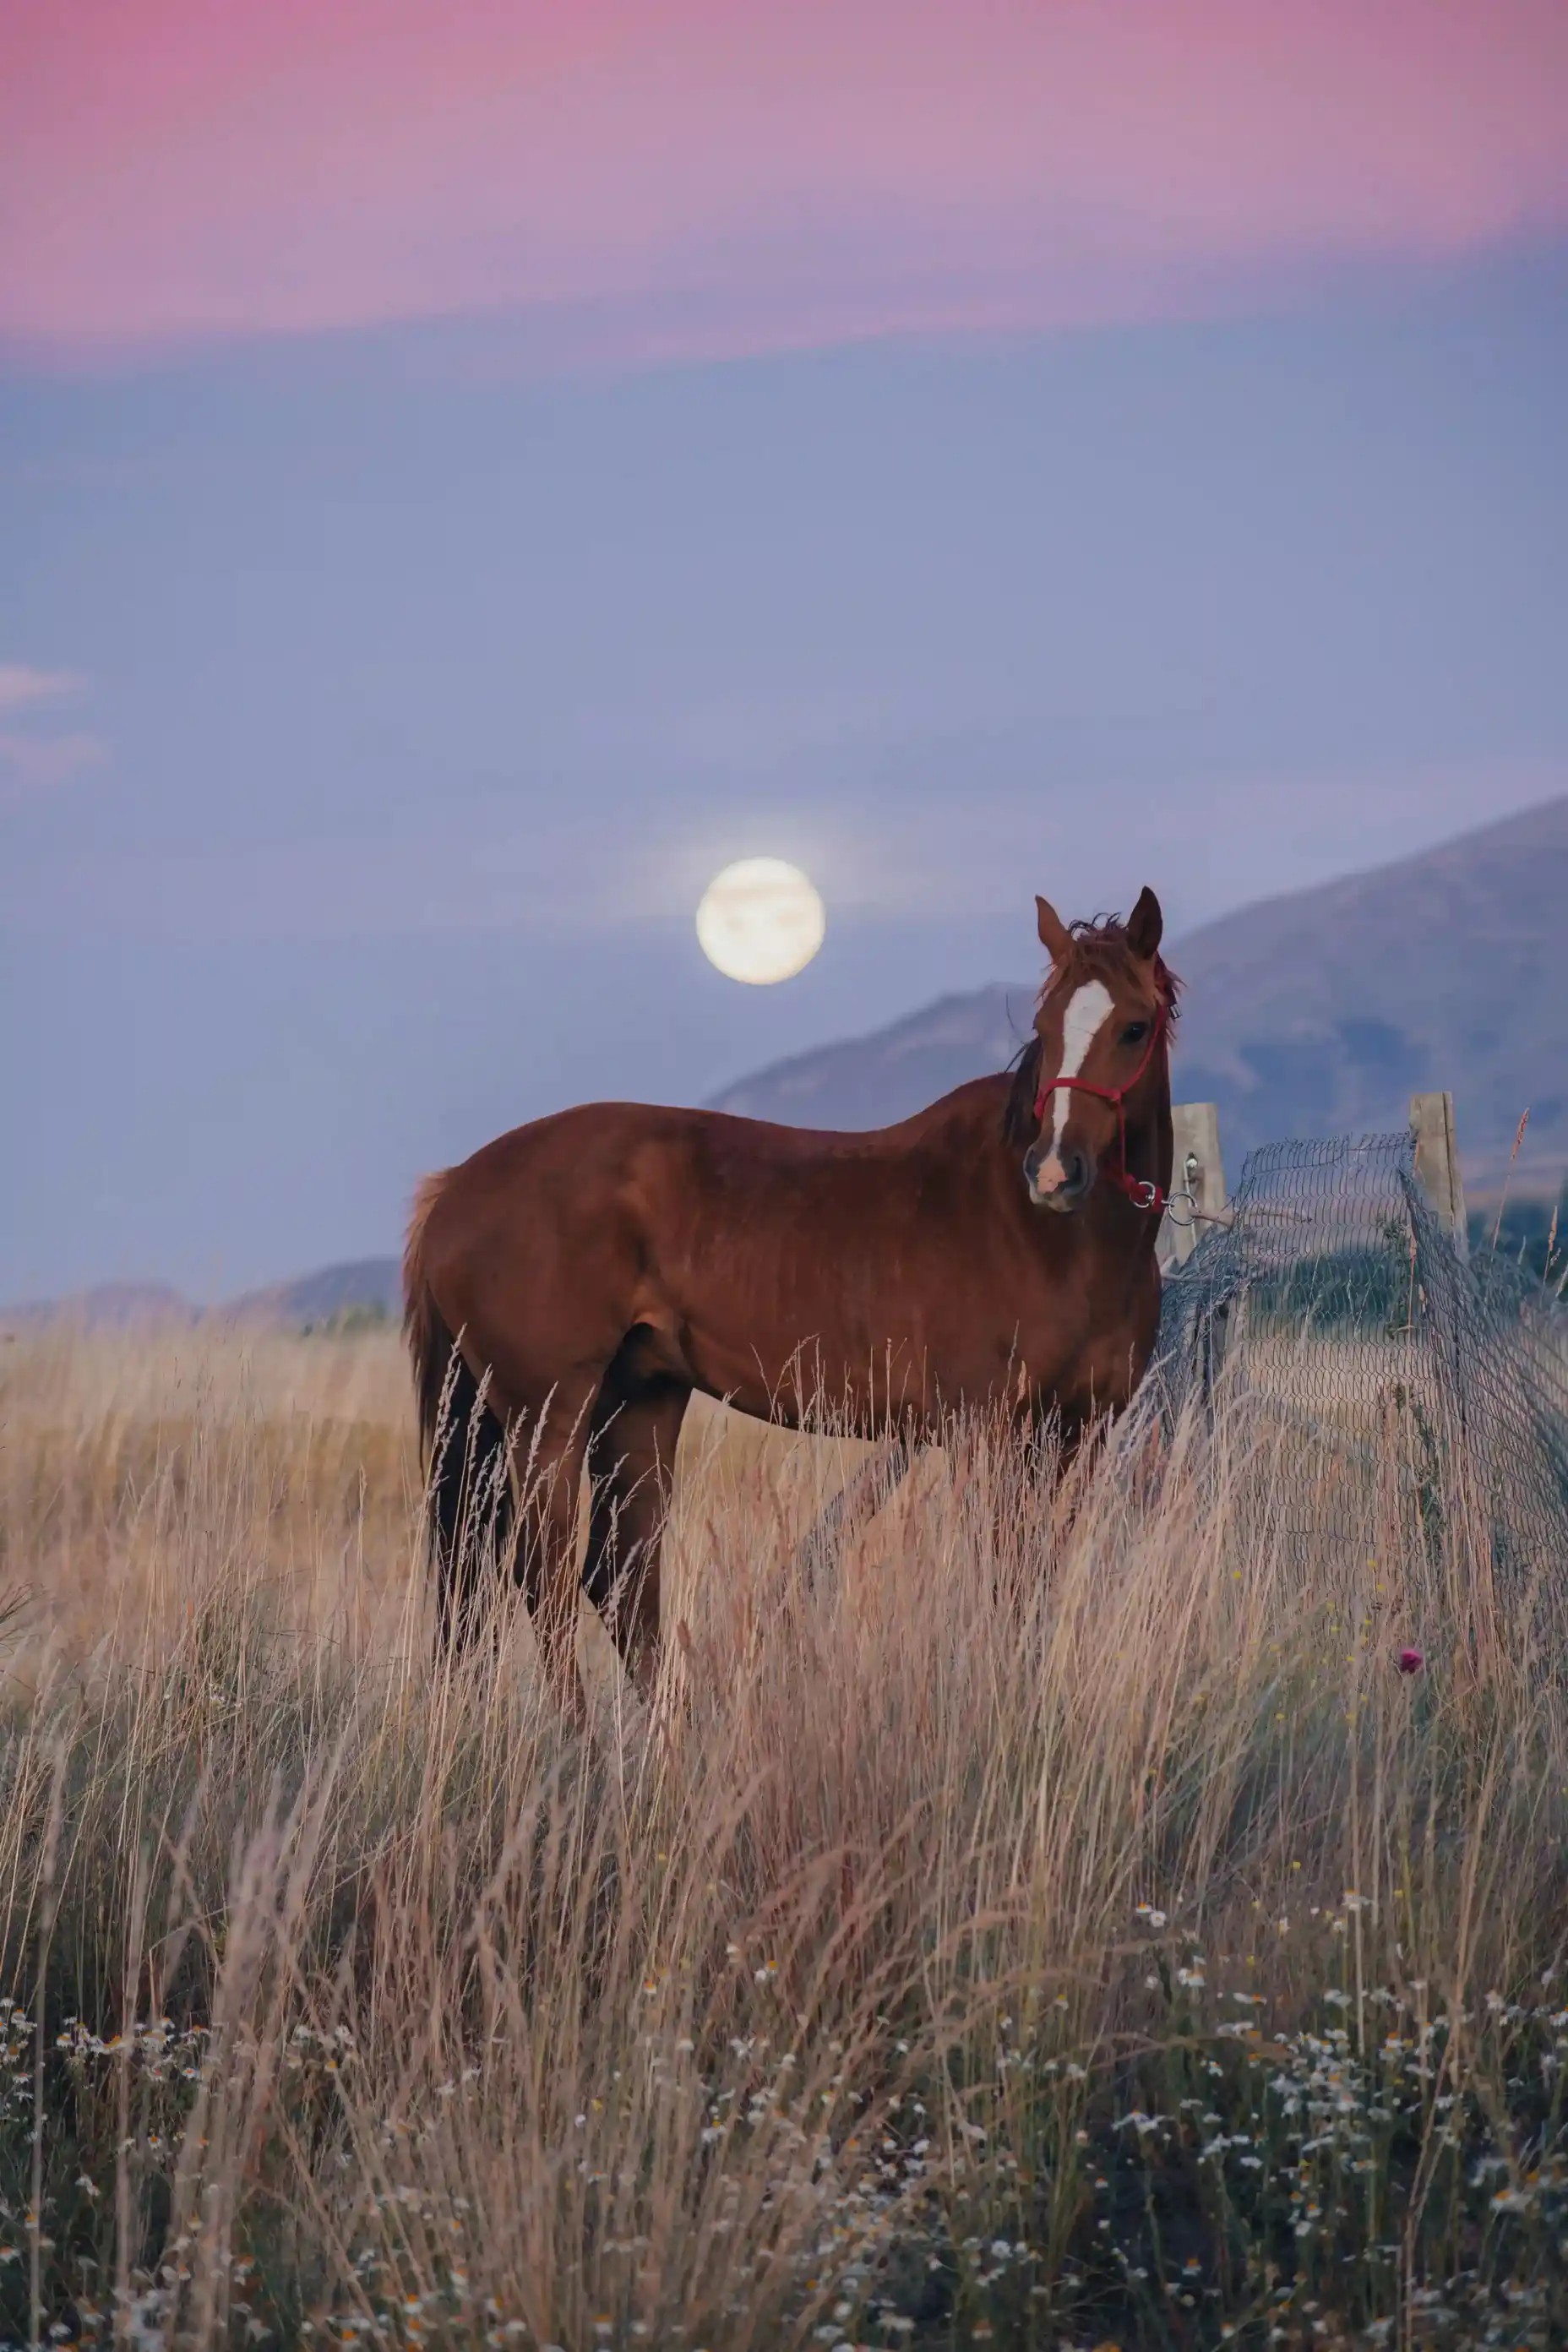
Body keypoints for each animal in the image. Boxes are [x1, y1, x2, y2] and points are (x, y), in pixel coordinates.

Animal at [403, 884, 1178, 1713]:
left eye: (1133, 1028)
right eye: (1045, 1028)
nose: (1054, 1171)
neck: (1050, 1239)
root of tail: (456, 1185)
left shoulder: (1081, 1433)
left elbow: (1039, 1575)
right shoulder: (992, 1435)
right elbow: (1003, 1576)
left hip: (637, 1400)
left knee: (615, 1579)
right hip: (545, 1415)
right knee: (539, 1575)